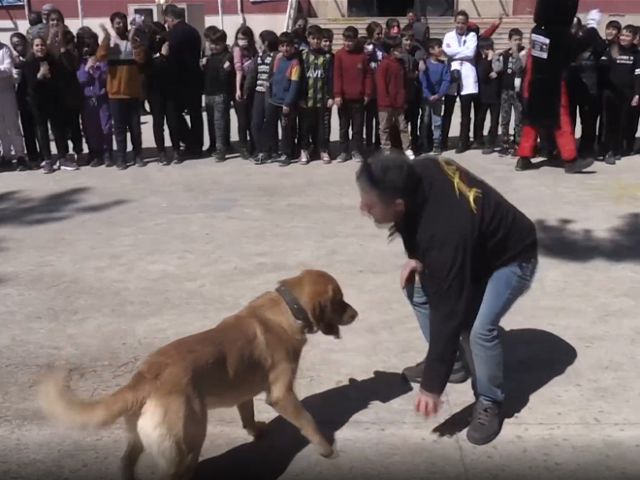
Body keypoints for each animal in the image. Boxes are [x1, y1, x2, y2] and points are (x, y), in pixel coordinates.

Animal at [37, 270, 360, 480]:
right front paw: (326, 448)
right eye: (340, 299)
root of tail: (145, 377)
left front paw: (256, 431)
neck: (287, 309)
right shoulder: (282, 395)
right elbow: (308, 421)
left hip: (139, 438)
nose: (356, 314)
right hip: (186, 442)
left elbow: (247, 415)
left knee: (126, 463)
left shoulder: (243, 391)